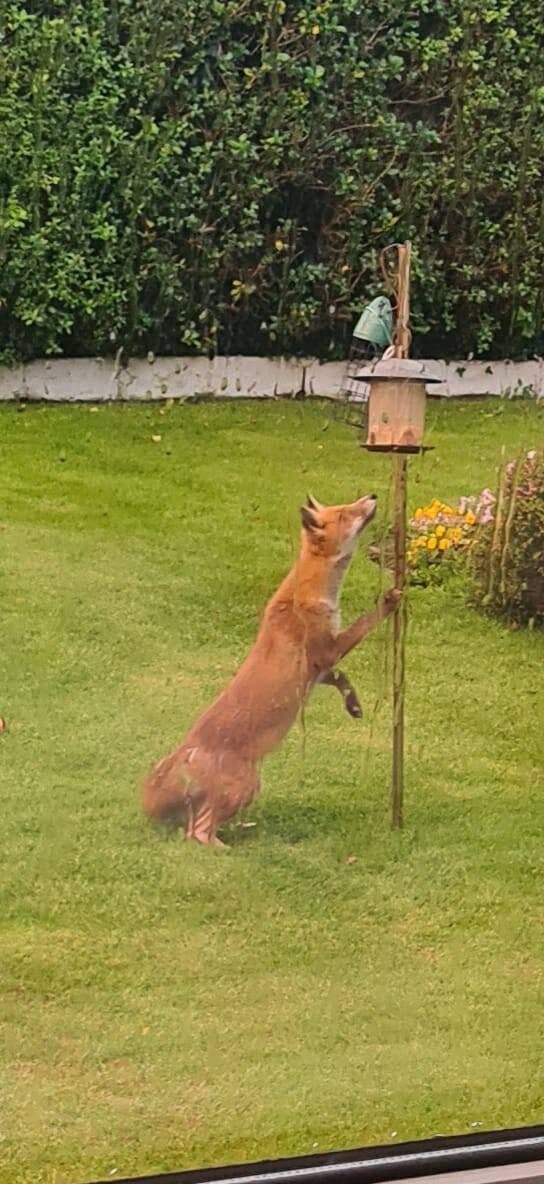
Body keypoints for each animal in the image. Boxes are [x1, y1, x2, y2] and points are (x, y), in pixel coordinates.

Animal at [142, 492, 401, 847]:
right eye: (345, 514)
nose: (372, 496)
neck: (308, 590)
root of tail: (188, 748)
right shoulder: (327, 650)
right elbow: (365, 622)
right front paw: (390, 601)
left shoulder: (320, 670)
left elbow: (343, 679)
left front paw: (354, 706)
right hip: (247, 786)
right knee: (199, 833)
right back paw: (228, 846)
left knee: (193, 827)